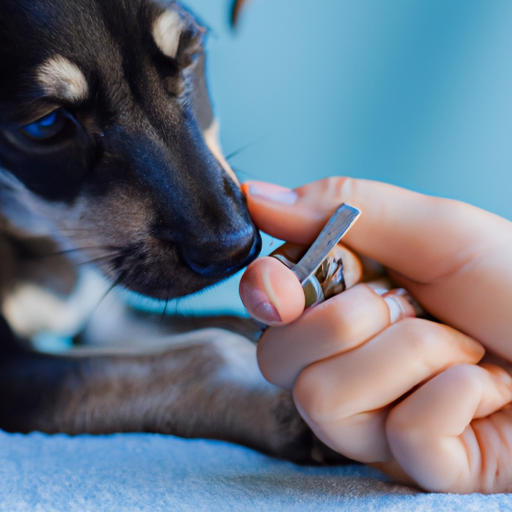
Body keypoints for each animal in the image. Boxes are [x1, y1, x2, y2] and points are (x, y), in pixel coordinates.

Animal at [0, 0, 332, 462]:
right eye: (44, 124)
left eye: (191, 55)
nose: (233, 250)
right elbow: (201, 354)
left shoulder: (109, 321)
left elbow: (231, 325)